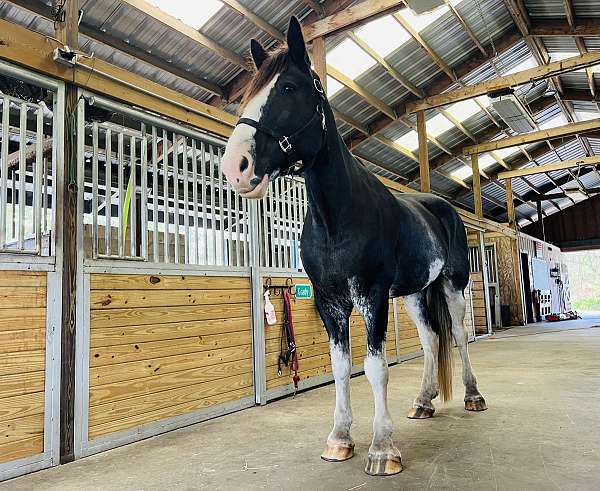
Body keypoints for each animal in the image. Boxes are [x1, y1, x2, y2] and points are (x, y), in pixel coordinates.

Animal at [223, 17, 486, 474]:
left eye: (288, 86)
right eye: (248, 94)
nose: (235, 167)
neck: (337, 218)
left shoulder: (372, 295)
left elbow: (375, 367)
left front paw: (382, 449)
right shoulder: (330, 301)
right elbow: (342, 367)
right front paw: (339, 439)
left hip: (453, 286)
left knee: (458, 334)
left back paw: (473, 396)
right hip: (414, 294)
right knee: (431, 339)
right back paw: (422, 402)